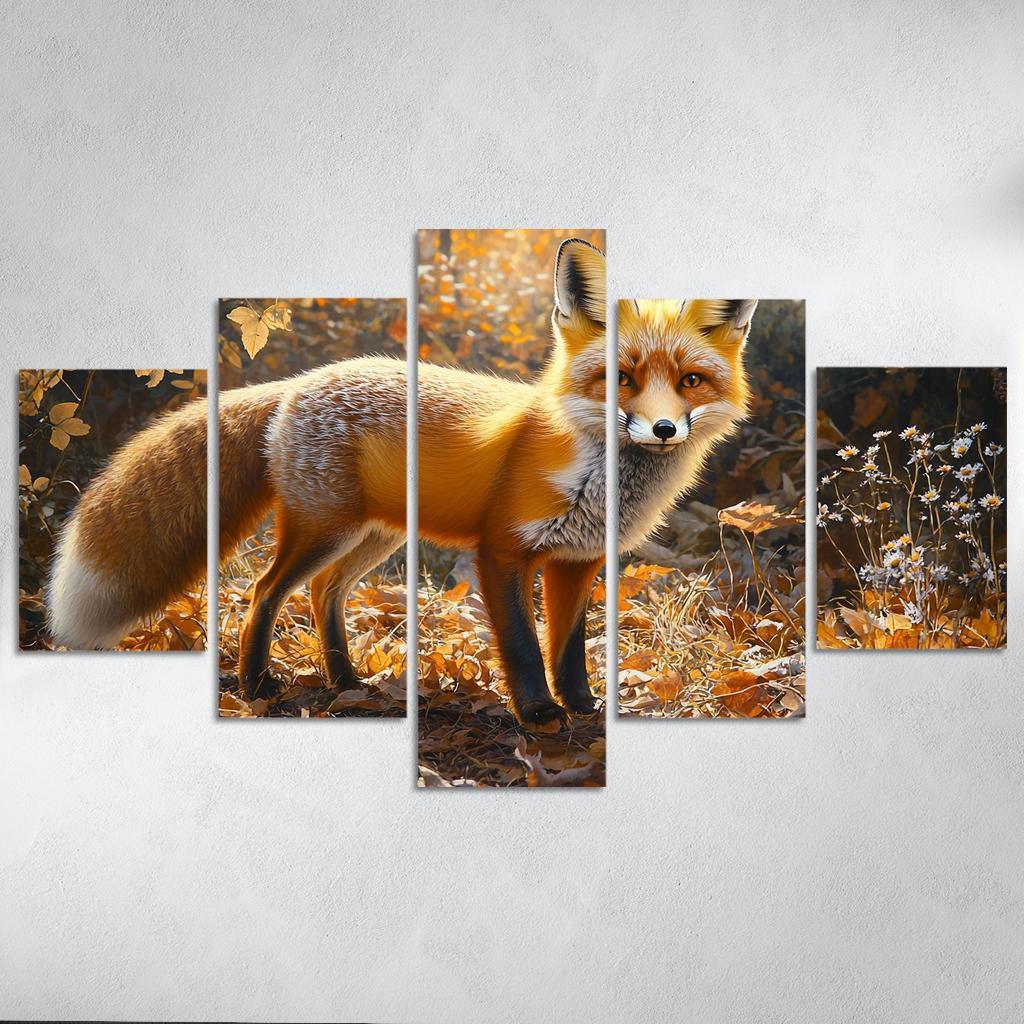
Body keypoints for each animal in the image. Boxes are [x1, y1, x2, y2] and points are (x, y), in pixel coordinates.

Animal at [48, 240, 755, 726]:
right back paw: (256, 687)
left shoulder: (577, 559)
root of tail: (300, 382)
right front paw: (537, 714)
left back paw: (344, 680)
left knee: (323, 593)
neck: (599, 481)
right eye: (620, 379)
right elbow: (526, 648)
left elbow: (569, 649)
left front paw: (581, 707)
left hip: (371, 537)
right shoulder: (500, 551)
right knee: (262, 592)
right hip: (324, 528)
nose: (662, 429)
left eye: (690, 381)